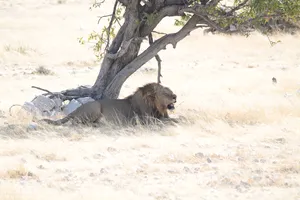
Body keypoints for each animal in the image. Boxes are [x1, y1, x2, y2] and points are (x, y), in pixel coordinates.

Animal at [38, 82, 177, 126]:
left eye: (170, 91)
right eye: (165, 92)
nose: (175, 97)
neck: (156, 106)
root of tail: (76, 109)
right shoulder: (146, 121)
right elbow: (168, 121)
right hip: (95, 107)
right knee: (75, 123)